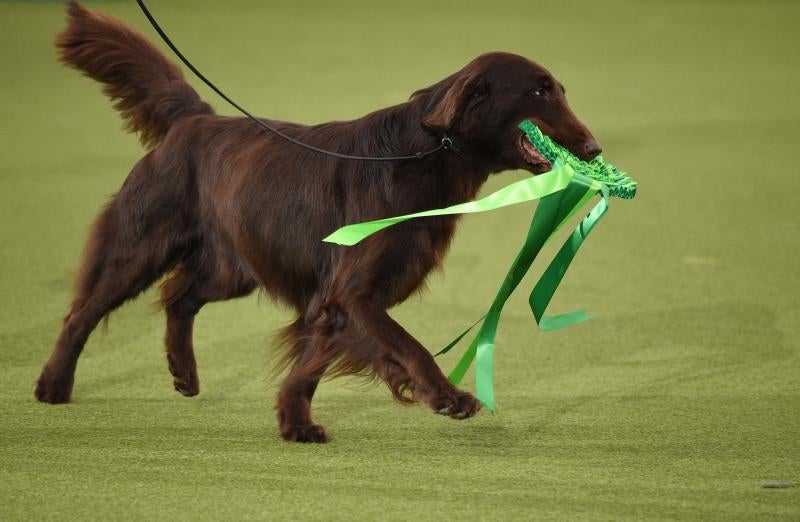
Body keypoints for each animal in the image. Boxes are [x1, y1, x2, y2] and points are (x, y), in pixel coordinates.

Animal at [36, 0, 600, 440]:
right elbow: (408, 345)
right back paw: (53, 385)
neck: (420, 157)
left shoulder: (333, 300)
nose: (595, 148)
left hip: (233, 266)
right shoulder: (353, 292)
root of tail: (192, 119)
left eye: (559, 89)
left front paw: (294, 421)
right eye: (539, 92)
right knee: (84, 311)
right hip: (143, 243)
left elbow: (311, 362)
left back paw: (184, 373)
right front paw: (447, 396)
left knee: (180, 295)